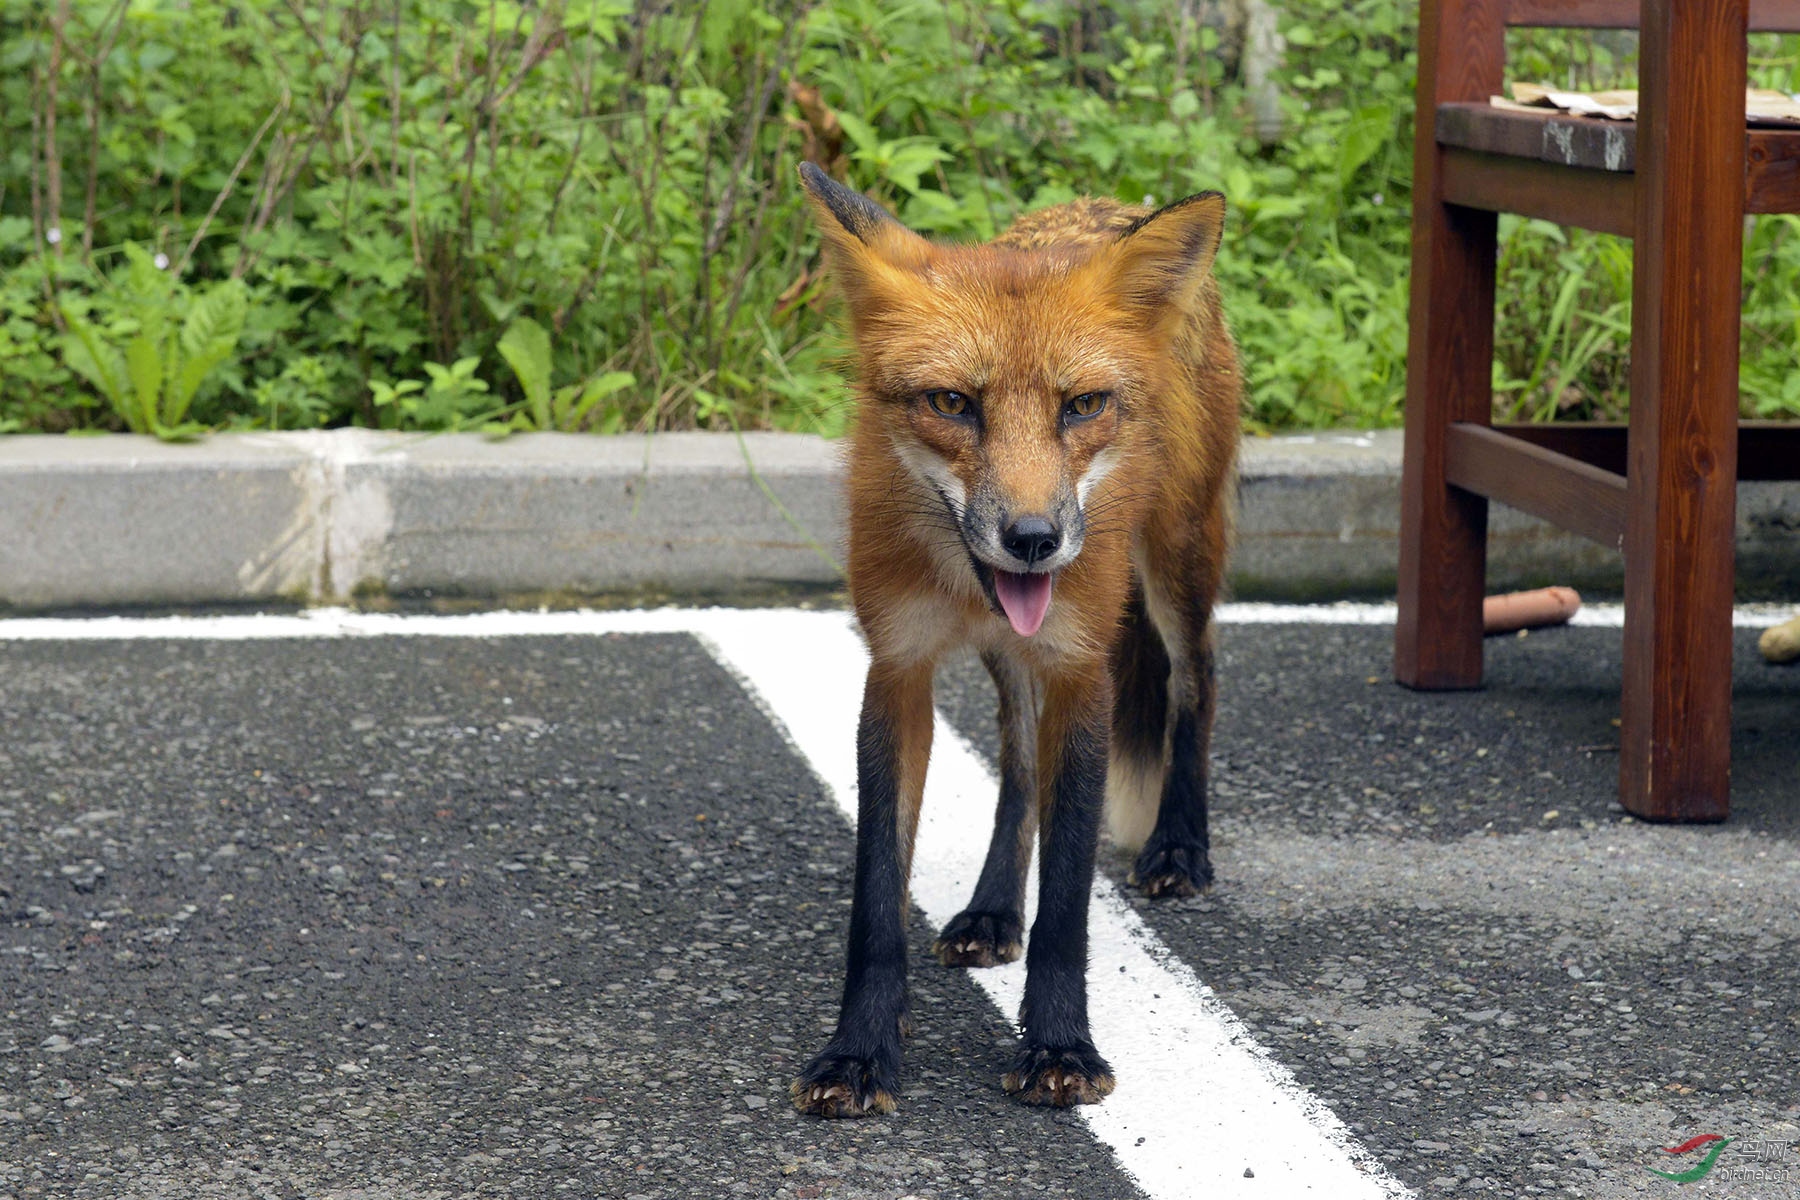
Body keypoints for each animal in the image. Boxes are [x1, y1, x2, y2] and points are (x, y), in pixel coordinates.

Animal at [795, 164, 1245, 1122]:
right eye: (952, 403)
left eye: (1083, 405)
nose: (1035, 540)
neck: (962, 583)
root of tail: (1104, 203)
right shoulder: (897, 668)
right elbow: (877, 899)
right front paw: (861, 1051)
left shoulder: (1082, 671)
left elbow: (1068, 898)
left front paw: (1061, 1046)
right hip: (1015, 654)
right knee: (1017, 766)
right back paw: (995, 908)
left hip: (1177, 561)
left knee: (1197, 680)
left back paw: (1180, 845)